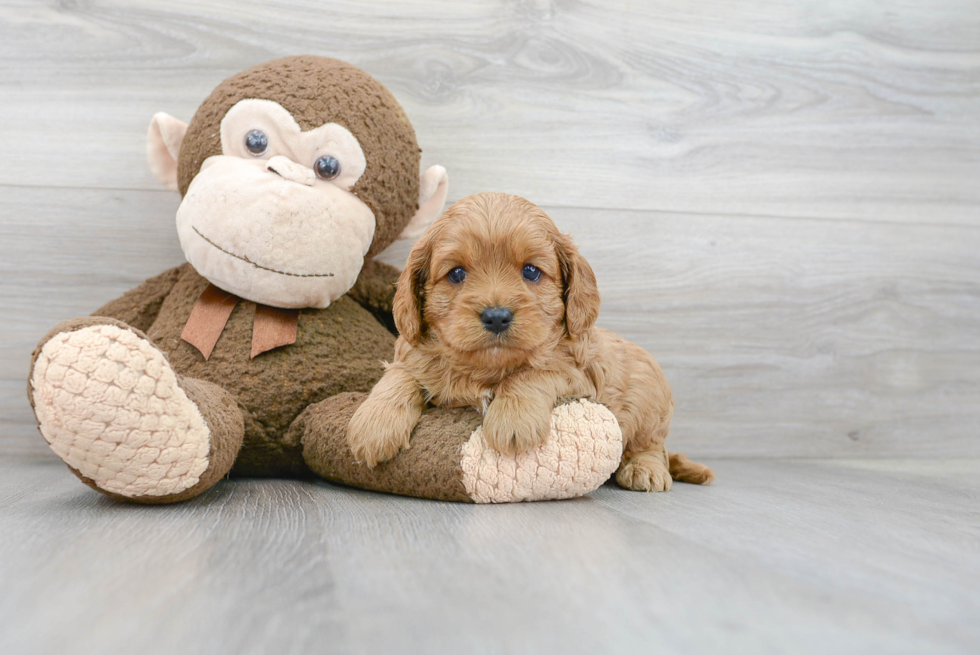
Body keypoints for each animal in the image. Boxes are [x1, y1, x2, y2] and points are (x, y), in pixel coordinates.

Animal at [348, 192, 716, 490]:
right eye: (456, 274)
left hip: (649, 401)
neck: (488, 369)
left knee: (653, 447)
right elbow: (399, 375)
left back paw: (645, 470)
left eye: (531, 271)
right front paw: (374, 425)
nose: (497, 316)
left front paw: (513, 420)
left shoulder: (577, 374)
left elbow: (532, 373)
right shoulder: (412, 355)